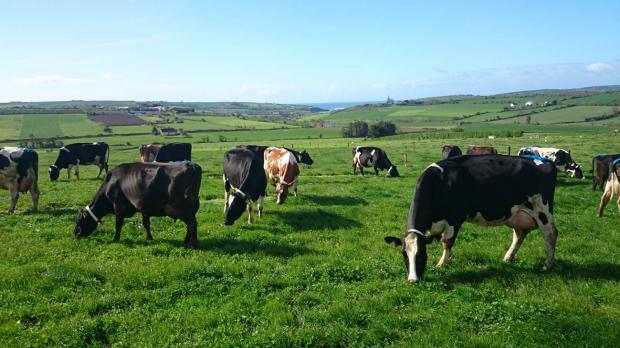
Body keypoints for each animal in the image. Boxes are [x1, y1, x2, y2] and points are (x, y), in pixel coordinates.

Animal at [73, 162, 201, 249]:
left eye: (79, 220)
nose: (74, 234)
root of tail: (191, 165)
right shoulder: (144, 207)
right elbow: (146, 224)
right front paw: (149, 238)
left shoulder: (118, 206)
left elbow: (118, 224)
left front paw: (115, 239)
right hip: (191, 209)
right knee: (190, 225)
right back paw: (186, 241)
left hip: (183, 209)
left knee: (192, 224)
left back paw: (193, 245)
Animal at [386, 155, 560, 282]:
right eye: (403, 254)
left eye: (421, 254)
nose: (413, 280)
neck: (440, 182)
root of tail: (545, 161)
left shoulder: (454, 219)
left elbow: (447, 243)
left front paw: (441, 264)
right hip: (517, 214)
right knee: (519, 234)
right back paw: (508, 258)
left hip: (542, 211)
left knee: (551, 234)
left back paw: (547, 265)